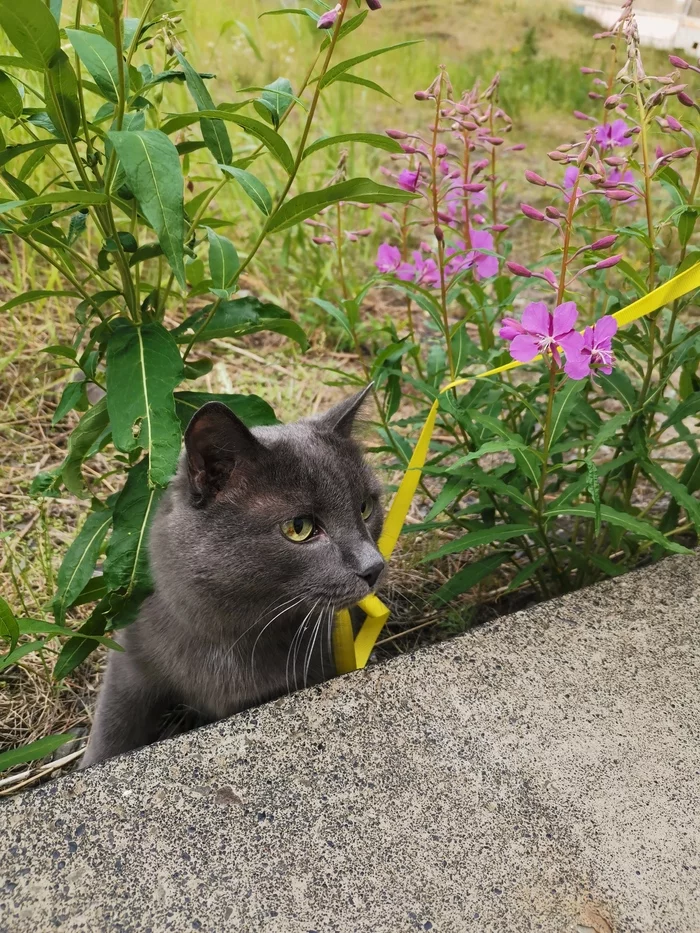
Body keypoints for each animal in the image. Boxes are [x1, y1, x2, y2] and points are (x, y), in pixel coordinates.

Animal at [84, 386, 386, 764]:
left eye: (365, 507)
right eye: (299, 527)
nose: (373, 566)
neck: (231, 637)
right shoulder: (131, 656)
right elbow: (111, 728)